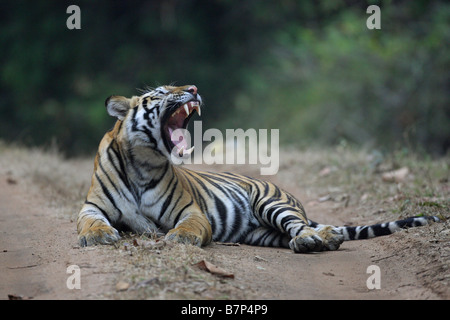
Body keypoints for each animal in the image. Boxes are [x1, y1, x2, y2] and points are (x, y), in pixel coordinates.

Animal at [76, 84, 440, 252]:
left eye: (183, 88)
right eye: (162, 92)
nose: (193, 89)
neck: (144, 162)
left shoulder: (191, 210)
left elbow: (189, 226)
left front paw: (180, 237)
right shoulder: (92, 207)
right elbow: (91, 222)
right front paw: (98, 236)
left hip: (271, 203)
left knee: (300, 226)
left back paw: (316, 239)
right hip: (261, 233)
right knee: (296, 233)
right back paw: (324, 238)